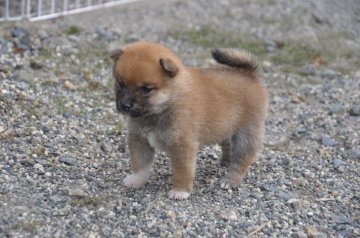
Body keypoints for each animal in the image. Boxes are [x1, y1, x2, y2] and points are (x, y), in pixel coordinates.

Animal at [109, 41, 268, 200]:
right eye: (121, 83)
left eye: (146, 89)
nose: (125, 106)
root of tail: (249, 74)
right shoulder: (140, 140)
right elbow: (140, 164)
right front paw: (136, 180)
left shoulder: (182, 145)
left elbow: (182, 170)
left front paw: (180, 191)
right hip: (225, 128)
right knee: (228, 146)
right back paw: (225, 162)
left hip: (245, 134)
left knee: (242, 159)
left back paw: (230, 180)